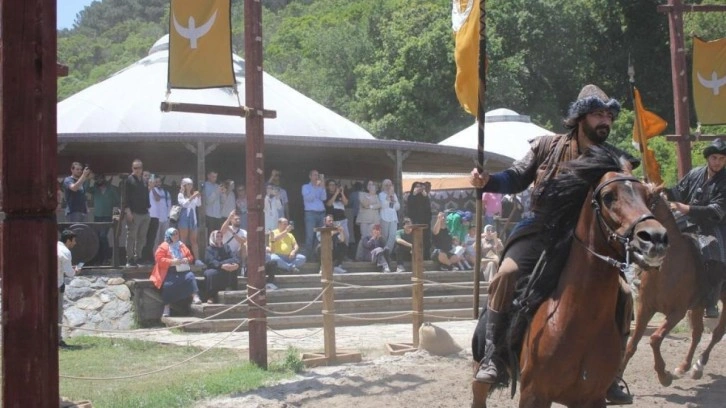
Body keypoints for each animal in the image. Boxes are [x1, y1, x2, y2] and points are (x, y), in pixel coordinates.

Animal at [620, 196, 726, 384]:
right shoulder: (645, 308)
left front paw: (664, 376)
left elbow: (655, 339)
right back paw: (684, 367)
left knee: (717, 334)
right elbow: (632, 344)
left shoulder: (677, 312)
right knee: (697, 333)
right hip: (697, 306)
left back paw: (699, 365)